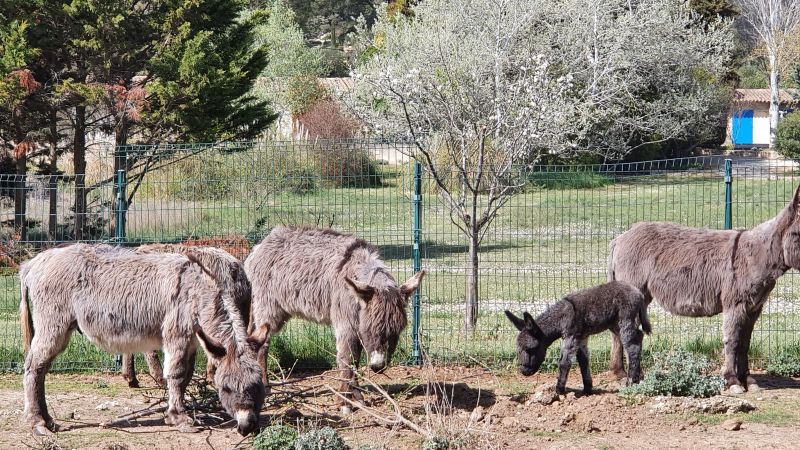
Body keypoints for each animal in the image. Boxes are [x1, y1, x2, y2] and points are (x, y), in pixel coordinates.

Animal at [506, 282, 648, 394]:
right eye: (518, 349)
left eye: (531, 348)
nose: (524, 371)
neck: (562, 316)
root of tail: (638, 293)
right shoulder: (581, 338)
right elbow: (583, 361)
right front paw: (587, 389)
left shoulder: (571, 336)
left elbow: (564, 362)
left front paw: (559, 390)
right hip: (615, 325)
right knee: (638, 338)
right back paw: (637, 378)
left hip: (625, 319)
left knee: (632, 347)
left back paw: (631, 382)